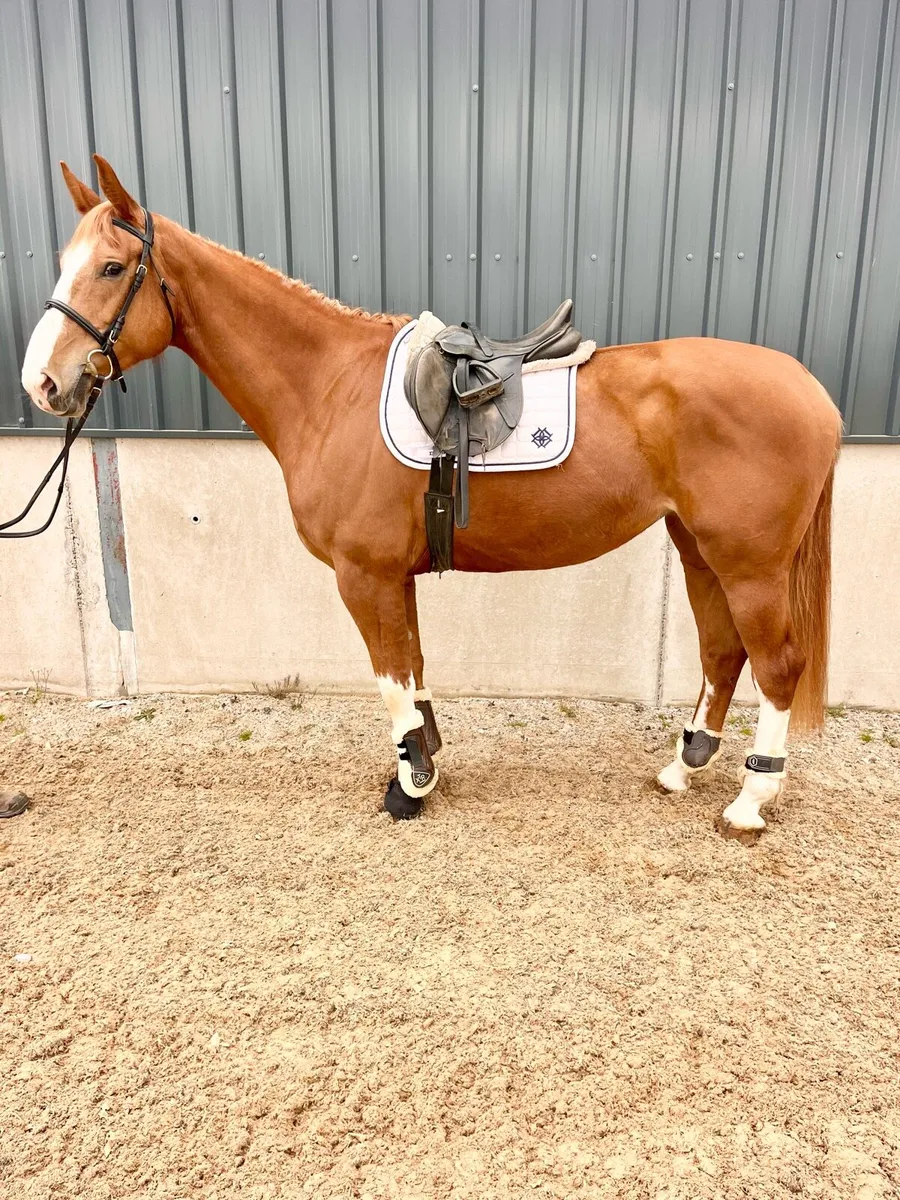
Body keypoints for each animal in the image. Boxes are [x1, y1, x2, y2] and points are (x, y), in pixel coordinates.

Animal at [20, 157, 842, 837]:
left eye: (112, 266)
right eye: (62, 264)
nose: (42, 383)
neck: (328, 385)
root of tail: (814, 392)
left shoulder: (365, 576)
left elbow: (391, 682)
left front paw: (410, 785)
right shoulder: (395, 577)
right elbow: (412, 674)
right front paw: (426, 765)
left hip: (750, 563)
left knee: (778, 666)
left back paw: (750, 801)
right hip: (698, 549)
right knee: (724, 651)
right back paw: (682, 767)